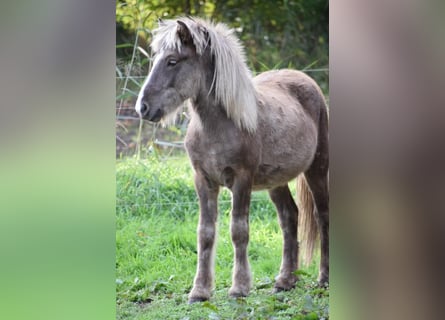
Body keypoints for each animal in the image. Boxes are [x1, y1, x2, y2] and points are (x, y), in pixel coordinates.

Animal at [134, 17, 328, 302]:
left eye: (172, 60)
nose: (143, 107)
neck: (218, 127)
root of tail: (306, 79)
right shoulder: (203, 180)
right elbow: (205, 233)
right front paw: (200, 291)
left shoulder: (241, 179)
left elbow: (239, 231)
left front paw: (239, 287)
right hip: (276, 182)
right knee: (289, 217)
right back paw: (285, 281)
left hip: (317, 170)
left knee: (322, 216)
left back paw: (323, 279)